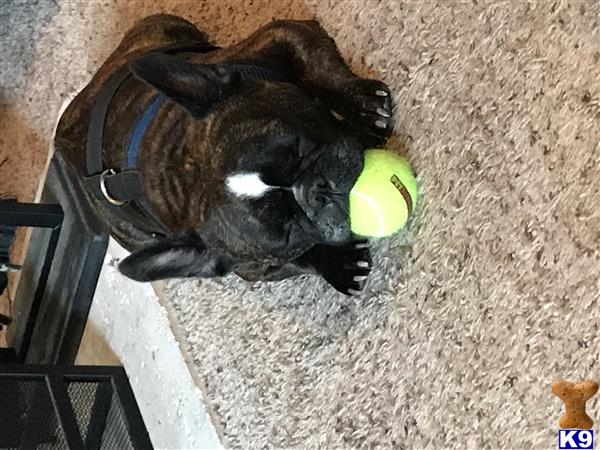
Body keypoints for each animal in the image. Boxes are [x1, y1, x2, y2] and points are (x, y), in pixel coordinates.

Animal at [55, 14, 394, 294]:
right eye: (287, 231)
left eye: (298, 143)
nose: (317, 190)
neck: (184, 166)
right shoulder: (252, 268)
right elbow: (299, 261)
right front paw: (338, 264)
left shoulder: (280, 36)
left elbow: (319, 70)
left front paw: (362, 105)